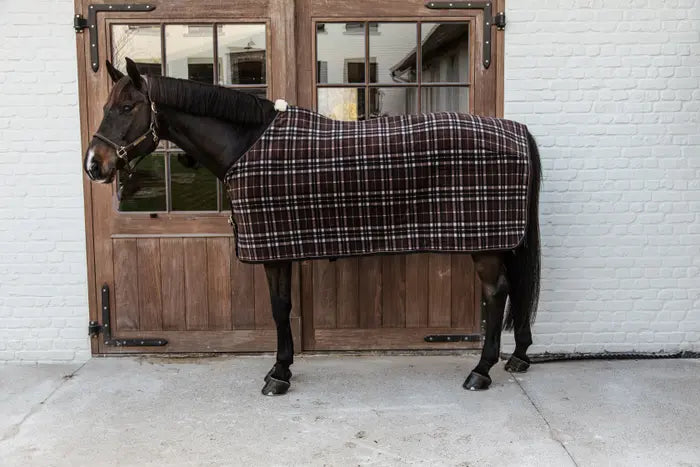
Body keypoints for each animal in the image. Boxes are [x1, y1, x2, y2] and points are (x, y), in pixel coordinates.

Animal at [83, 57, 540, 394]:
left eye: (127, 108)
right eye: (105, 107)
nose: (93, 165)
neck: (248, 144)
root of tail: (518, 130)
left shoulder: (273, 251)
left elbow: (279, 308)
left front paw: (278, 375)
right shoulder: (279, 246)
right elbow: (283, 306)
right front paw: (281, 368)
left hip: (486, 244)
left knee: (497, 292)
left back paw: (481, 371)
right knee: (514, 288)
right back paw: (518, 357)